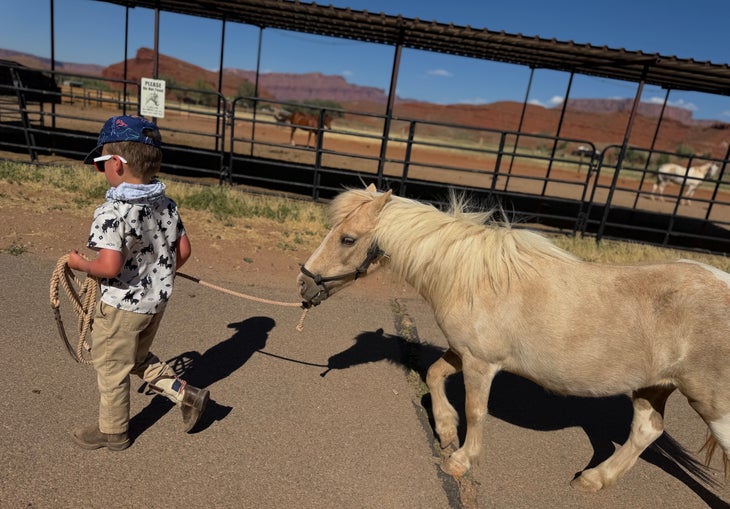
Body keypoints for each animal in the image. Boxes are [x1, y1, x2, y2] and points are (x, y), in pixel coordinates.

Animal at [297, 184, 730, 492]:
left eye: (348, 239)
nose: (304, 283)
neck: (474, 278)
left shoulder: (480, 362)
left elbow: (475, 410)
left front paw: (461, 460)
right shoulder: (461, 351)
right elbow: (435, 375)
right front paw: (446, 431)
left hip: (713, 407)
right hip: (653, 387)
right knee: (645, 431)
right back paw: (593, 480)